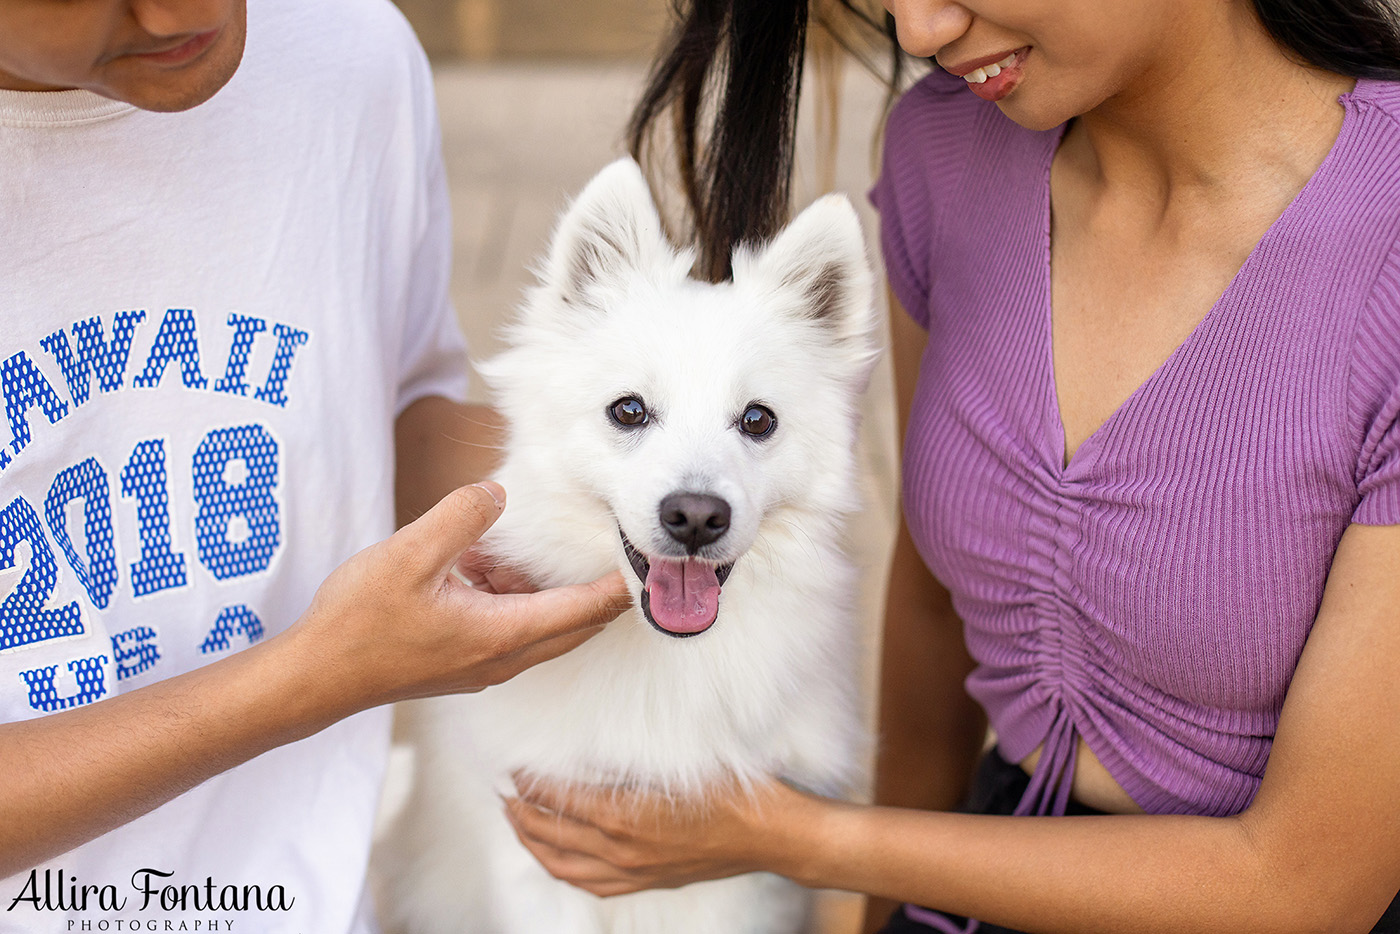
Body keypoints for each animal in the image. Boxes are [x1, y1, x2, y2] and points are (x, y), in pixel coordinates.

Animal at [378, 161, 879, 934]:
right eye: (629, 411)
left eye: (758, 420)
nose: (696, 518)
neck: (660, 658)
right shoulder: (536, 849)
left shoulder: (732, 875)